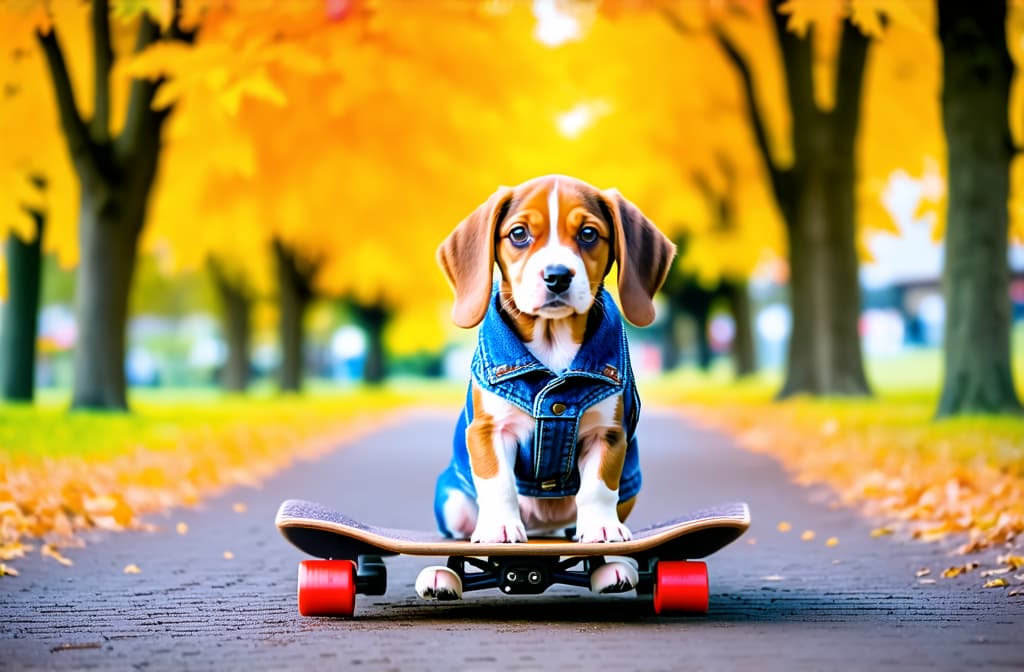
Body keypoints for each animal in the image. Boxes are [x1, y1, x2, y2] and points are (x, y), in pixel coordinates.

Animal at [432, 174, 671, 557]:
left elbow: (598, 488)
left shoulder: (607, 433)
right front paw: (498, 528)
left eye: (588, 234)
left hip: (628, 493)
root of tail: (543, 528)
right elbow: (498, 483)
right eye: (519, 234)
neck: (552, 338)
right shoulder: (488, 431)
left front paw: (601, 528)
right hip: (453, 504)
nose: (557, 275)